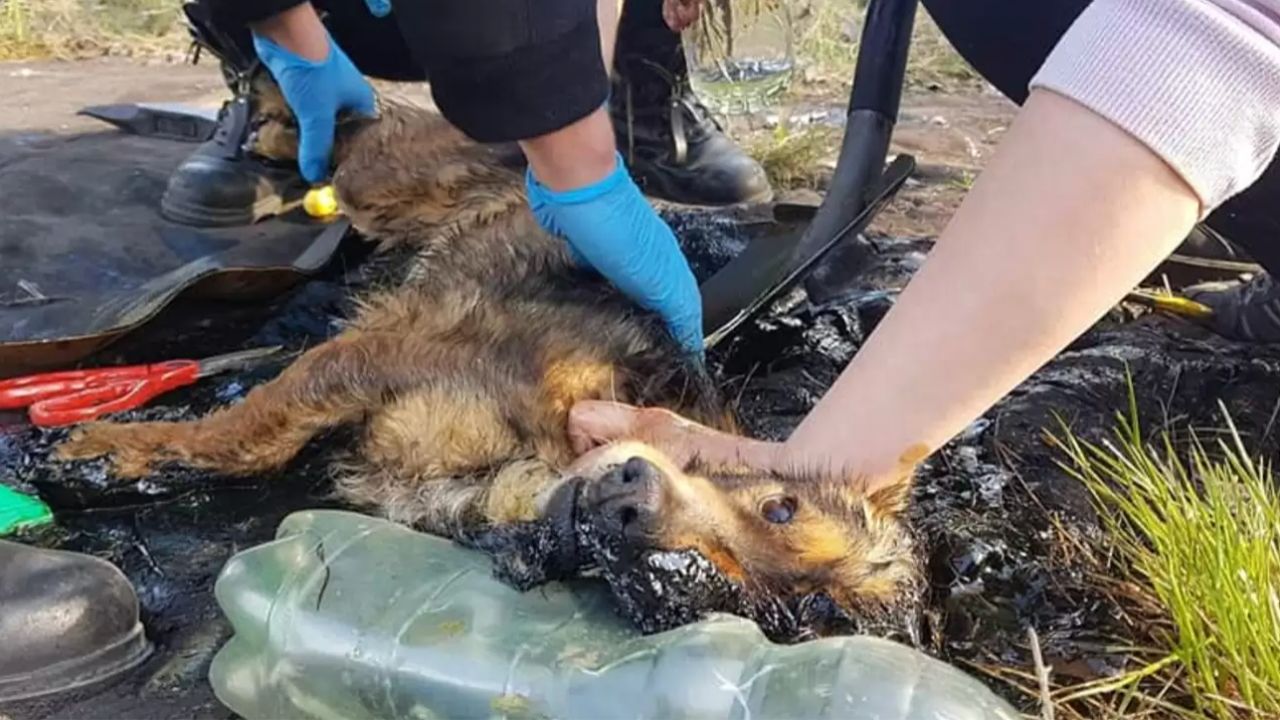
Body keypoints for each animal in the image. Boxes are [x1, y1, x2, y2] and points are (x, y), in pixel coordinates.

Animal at [55, 89, 926, 638]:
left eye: (775, 602)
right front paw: (116, 447)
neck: (523, 467)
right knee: (342, 129)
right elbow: (251, 433)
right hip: (392, 173)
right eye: (780, 507)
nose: (628, 506)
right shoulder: (386, 351)